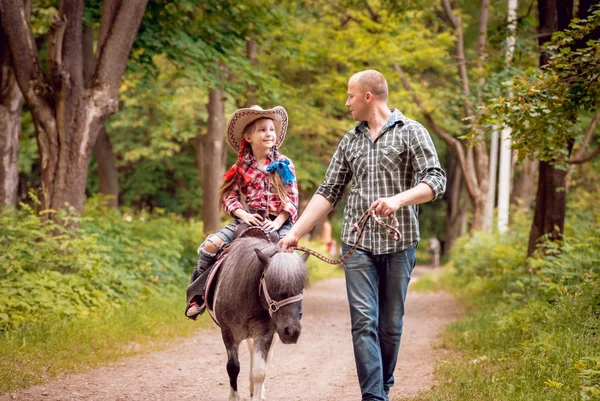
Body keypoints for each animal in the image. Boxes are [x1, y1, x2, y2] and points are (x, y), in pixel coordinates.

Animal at [206, 236, 310, 400]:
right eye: (273, 287)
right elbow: (233, 367)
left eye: (301, 288)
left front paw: (258, 393)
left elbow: (260, 371)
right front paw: (234, 397)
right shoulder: (228, 332)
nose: (292, 332)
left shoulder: (265, 333)